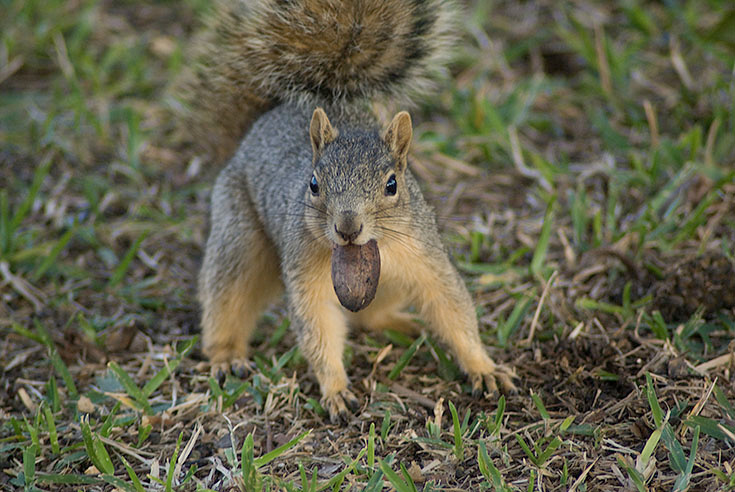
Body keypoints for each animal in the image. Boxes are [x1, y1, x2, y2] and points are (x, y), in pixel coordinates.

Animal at [181, 0, 517, 421]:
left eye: (392, 184)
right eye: (313, 184)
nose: (347, 227)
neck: (368, 251)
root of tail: (258, 126)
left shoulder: (425, 257)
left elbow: (451, 307)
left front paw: (484, 368)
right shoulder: (306, 269)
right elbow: (318, 324)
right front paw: (336, 390)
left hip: (394, 284)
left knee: (371, 317)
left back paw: (404, 324)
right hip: (238, 235)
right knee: (228, 295)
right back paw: (226, 355)